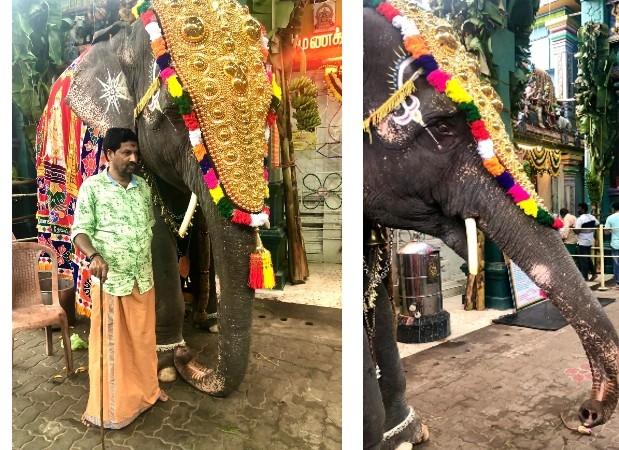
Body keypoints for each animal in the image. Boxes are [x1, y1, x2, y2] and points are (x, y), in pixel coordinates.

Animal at [34, 0, 276, 394]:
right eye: (177, 113)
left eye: (270, 110)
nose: (193, 363)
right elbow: (155, 235)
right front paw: (167, 363)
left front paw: (206, 324)